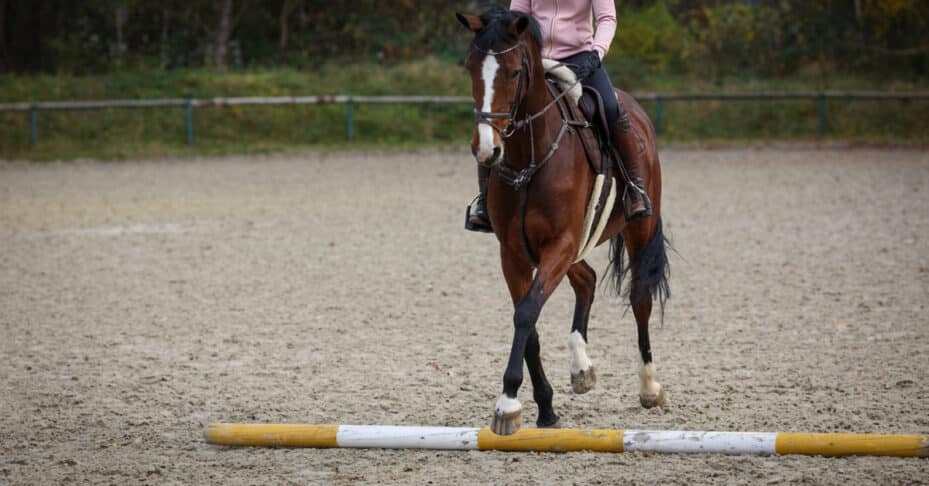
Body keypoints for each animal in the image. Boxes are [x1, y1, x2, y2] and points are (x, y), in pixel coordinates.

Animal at [456, 7, 671, 435]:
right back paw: (581, 367)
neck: (531, 156)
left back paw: (649, 387)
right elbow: (529, 323)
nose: (487, 149)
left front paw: (508, 403)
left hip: (636, 229)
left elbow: (526, 313)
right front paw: (544, 407)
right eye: (470, 66)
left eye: (514, 72)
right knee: (585, 280)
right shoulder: (515, 253)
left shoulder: (560, 243)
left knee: (639, 298)